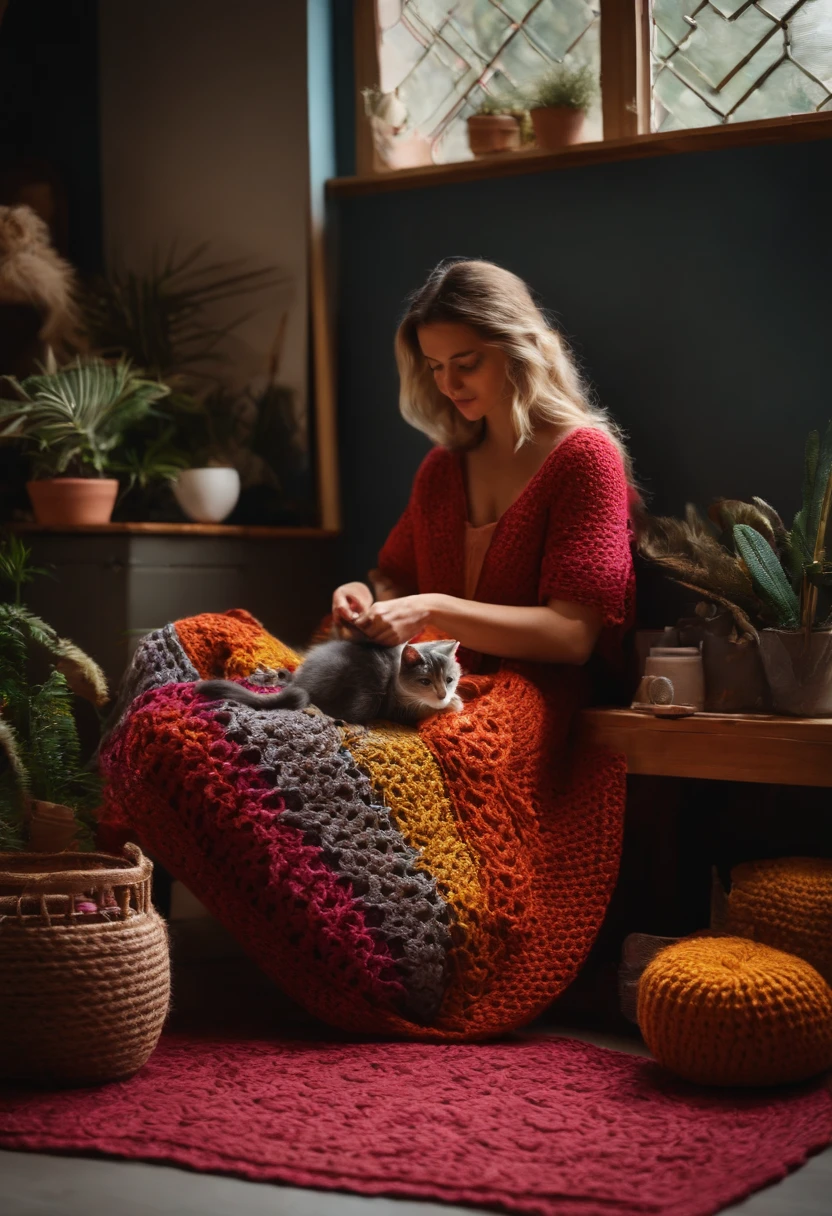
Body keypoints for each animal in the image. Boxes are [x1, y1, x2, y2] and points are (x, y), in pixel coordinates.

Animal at [197, 637, 464, 719]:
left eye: (449, 680)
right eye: (425, 681)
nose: (443, 694)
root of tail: (302, 683)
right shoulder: (395, 707)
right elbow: (422, 710)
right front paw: (453, 704)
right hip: (367, 699)